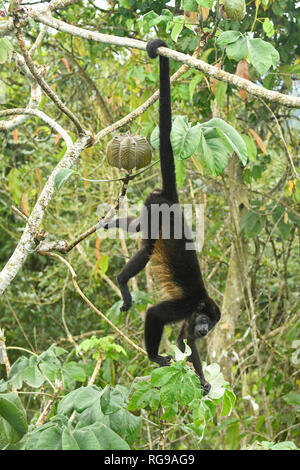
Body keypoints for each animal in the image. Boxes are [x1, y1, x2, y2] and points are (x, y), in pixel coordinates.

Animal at [101, 38, 220, 394]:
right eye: (207, 320)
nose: (206, 330)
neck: (200, 305)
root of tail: (171, 200)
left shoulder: (189, 320)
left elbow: (185, 342)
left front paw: (202, 380)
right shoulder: (187, 305)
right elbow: (155, 314)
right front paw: (155, 357)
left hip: (150, 207)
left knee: (138, 229)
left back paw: (110, 223)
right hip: (157, 211)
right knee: (146, 248)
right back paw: (123, 282)